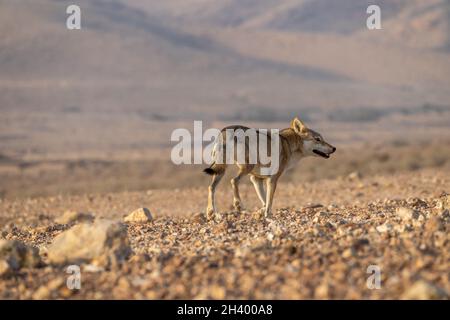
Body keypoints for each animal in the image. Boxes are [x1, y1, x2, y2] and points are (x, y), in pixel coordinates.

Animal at [203, 117, 334, 220]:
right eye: (318, 139)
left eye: (322, 138)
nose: (334, 148)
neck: (288, 144)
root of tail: (225, 131)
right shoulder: (272, 179)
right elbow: (269, 201)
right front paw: (268, 215)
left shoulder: (256, 179)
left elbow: (264, 200)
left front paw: (262, 212)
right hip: (245, 168)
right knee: (233, 180)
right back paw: (238, 205)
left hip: (221, 171)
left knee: (211, 187)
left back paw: (210, 213)